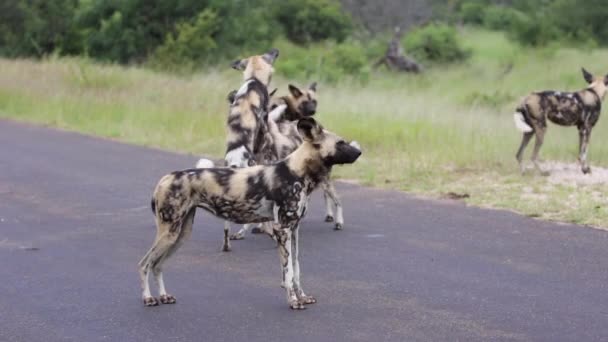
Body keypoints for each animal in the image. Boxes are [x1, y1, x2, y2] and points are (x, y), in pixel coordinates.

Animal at [140, 118, 360, 310]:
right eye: (341, 143)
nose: (359, 151)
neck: (298, 171)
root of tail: (165, 178)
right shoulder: (283, 230)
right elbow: (288, 272)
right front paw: (293, 301)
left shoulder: (294, 229)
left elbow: (296, 268)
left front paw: (302, 297)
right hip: (169, 234)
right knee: (145, 263)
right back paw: (149, 298)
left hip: (181, 235)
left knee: (157, 265)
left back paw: (164, 296)